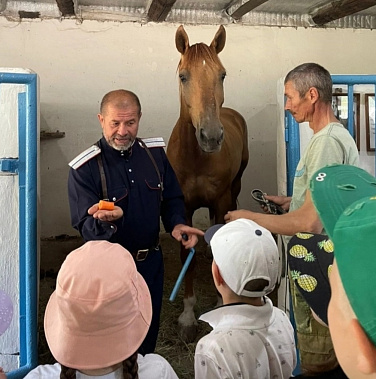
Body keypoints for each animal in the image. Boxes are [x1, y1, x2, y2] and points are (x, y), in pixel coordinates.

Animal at [167, 25, 250, 342]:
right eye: (183, 76)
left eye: (222, 75)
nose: (211, 136)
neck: (196, 158)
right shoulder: (183, 208)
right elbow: (185, 254)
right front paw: (188, 316)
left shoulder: (222, 200)